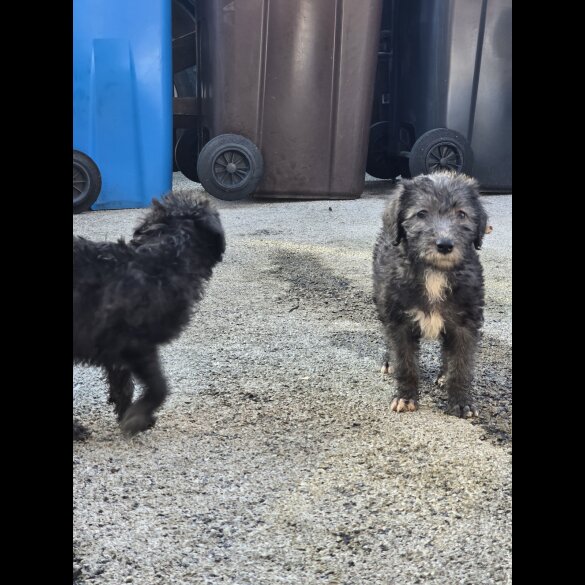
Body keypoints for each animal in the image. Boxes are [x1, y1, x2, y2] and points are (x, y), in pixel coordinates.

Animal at [72, 192, 226, 438]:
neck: (164, 258)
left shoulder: (117, 353)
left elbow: (123, 384)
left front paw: (130, 413)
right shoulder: (134, 343)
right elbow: (159, 385)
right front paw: (137, 417)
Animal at [374, 171, 488, 418]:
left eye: (462, 214)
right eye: (421, 213)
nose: (444, 245)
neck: (435, 272)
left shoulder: (465, 323)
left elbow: (460, 365)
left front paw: (461, 401)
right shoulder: (399, 321)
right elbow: (405, 362)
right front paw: (405, 397)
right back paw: (388, 361)